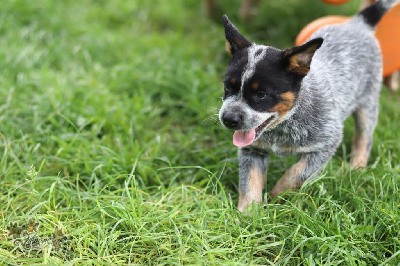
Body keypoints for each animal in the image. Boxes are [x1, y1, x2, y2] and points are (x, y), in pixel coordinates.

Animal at [220, 0, 398, 212]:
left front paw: (275, 198)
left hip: (368, 101)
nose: (228, 119)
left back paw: (356, 168)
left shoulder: (327, 142)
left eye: (261, 95)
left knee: (364, 137)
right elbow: (249, 184)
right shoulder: (253, 150)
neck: (286, 122)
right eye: (228, 87)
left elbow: (295, 174)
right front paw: (248, 214)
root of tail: (357, 23)